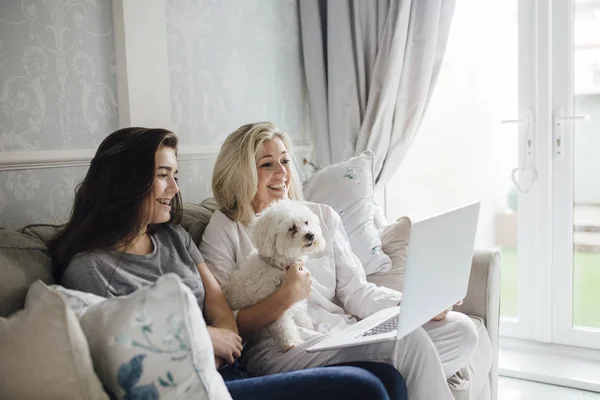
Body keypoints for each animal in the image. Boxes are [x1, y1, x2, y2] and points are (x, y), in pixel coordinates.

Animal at [225, 200, 326, 350]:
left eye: (306, 222)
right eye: (292, 228)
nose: (311, 235)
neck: (281, 268)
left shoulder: (297, 301)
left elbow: (301, 315)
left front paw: (307, 326)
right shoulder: (276, 307)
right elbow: (284, 327)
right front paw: (292, 341)